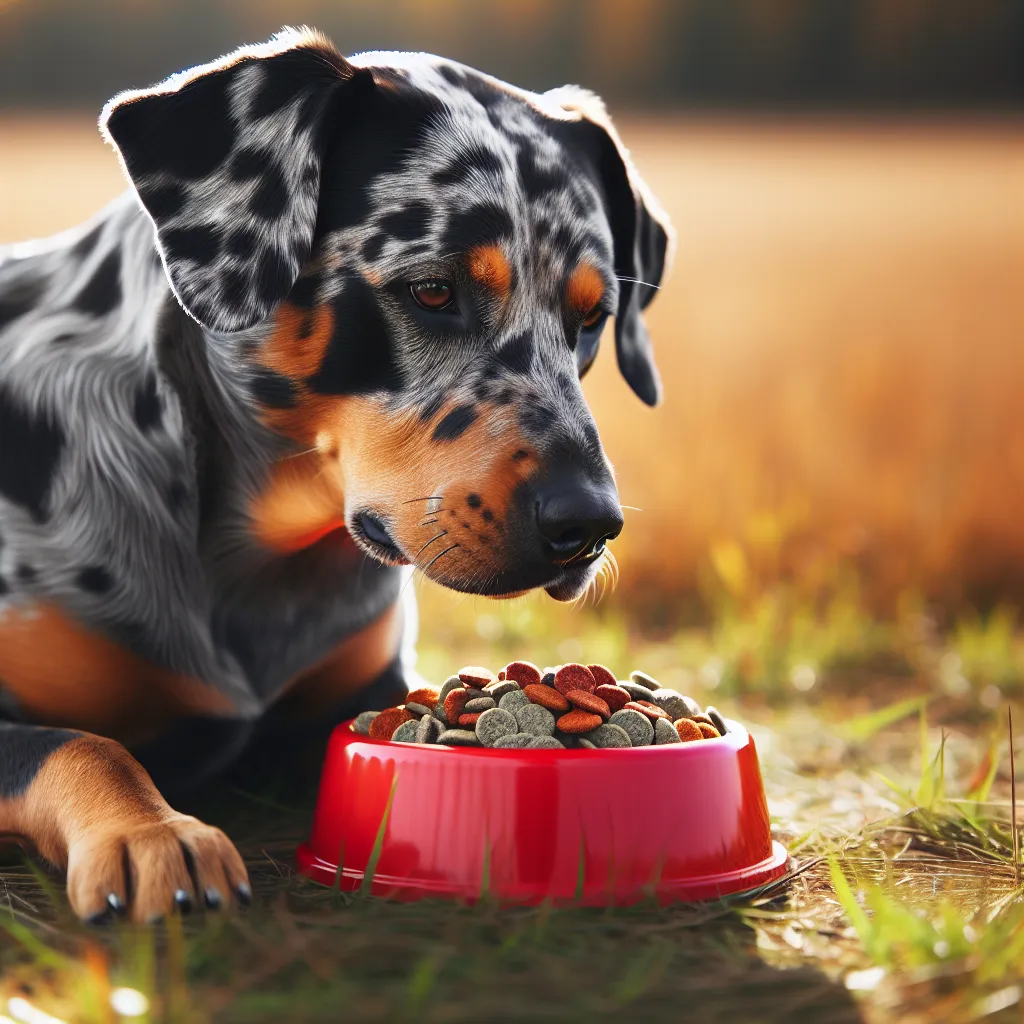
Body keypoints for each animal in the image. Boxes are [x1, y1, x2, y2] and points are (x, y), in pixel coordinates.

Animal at [0, 25, 671, 921]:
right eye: (432, 289)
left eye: (593, 317)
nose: (588, 525)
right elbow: (82, 743)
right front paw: (154, 831)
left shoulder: (375, 685)